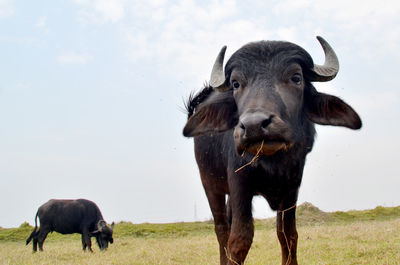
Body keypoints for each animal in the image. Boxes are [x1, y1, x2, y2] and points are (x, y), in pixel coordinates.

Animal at [183, 37, 360, 264]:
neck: (273, 162)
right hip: (210, 183)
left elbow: (288, 234)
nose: (254, 126)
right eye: (236, 83)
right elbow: (239, 239)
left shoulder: (292, 186)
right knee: (222, 229)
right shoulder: (239, 182)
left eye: (296, 77)